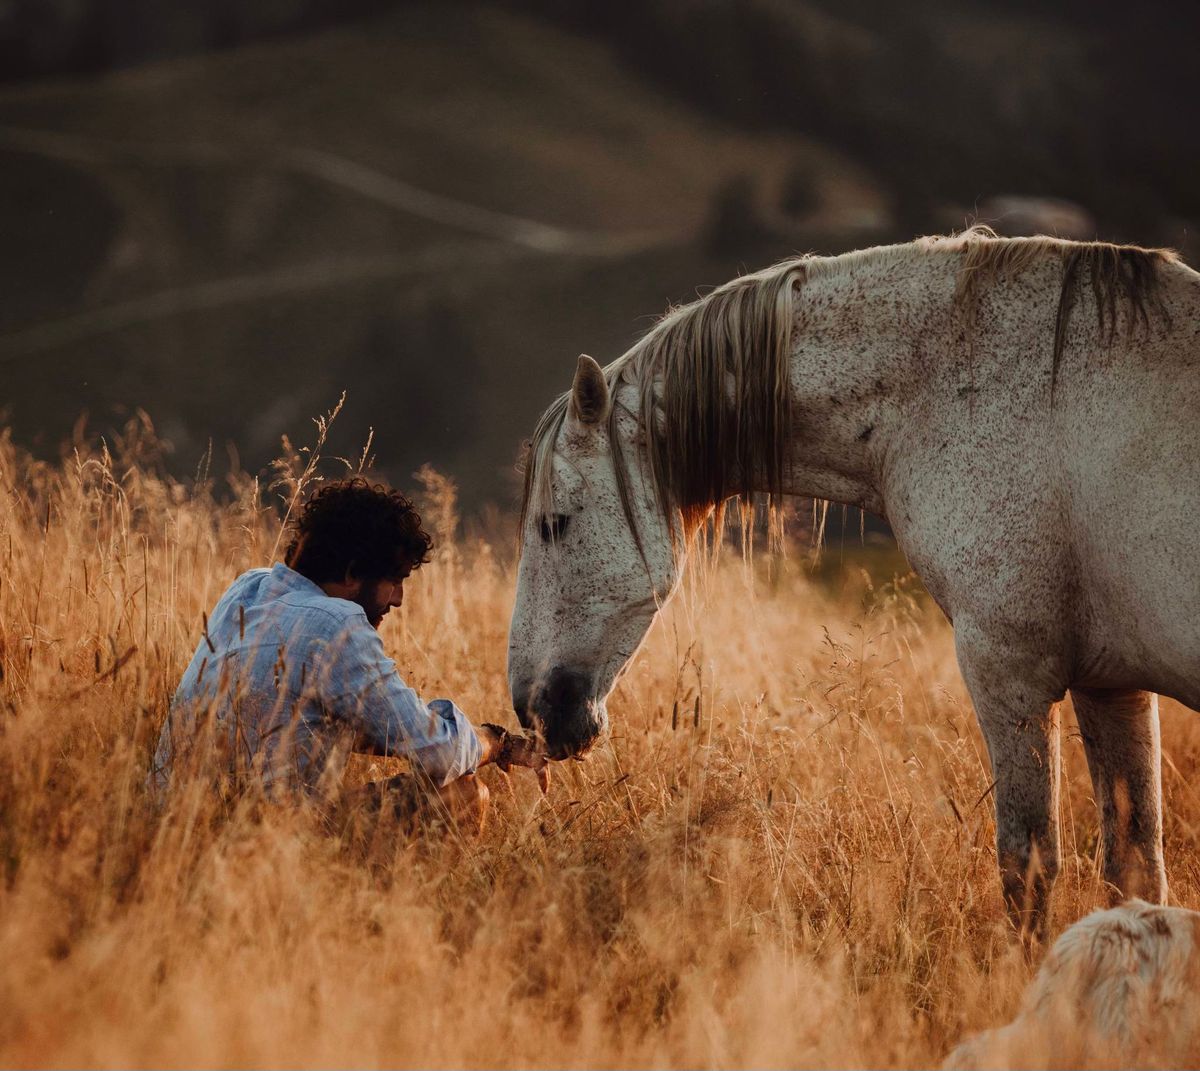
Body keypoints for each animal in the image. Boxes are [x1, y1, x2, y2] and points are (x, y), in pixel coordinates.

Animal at [506, 228, 1200, 936]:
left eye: (555, 524)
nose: (534, 709)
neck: (961, 387)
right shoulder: (1111, 685)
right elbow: (1136, 876)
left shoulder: (1012, 674)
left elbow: (1027, 874)